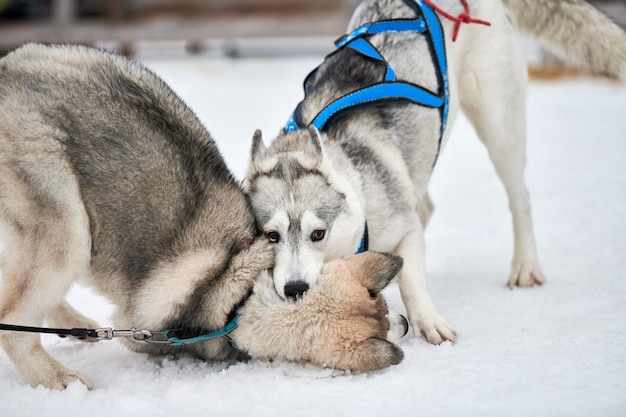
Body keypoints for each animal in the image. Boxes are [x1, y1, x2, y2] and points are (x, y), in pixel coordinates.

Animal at [0, 44, 402, 388]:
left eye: (379, 301)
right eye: (380, 319)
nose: (405, 324)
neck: (238, 302)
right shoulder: (143, 332)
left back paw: (75, 326)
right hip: (67, 230)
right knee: (12, 319)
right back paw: (58, 378)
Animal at [246, 0, 624, 342]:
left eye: (318, 234)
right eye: (271, 236)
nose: (295, 288)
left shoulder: (402, 227)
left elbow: (412, 276)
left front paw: (427, 319)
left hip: (500, 129)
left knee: (520, 198)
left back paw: (525, 266)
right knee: (427, 205)